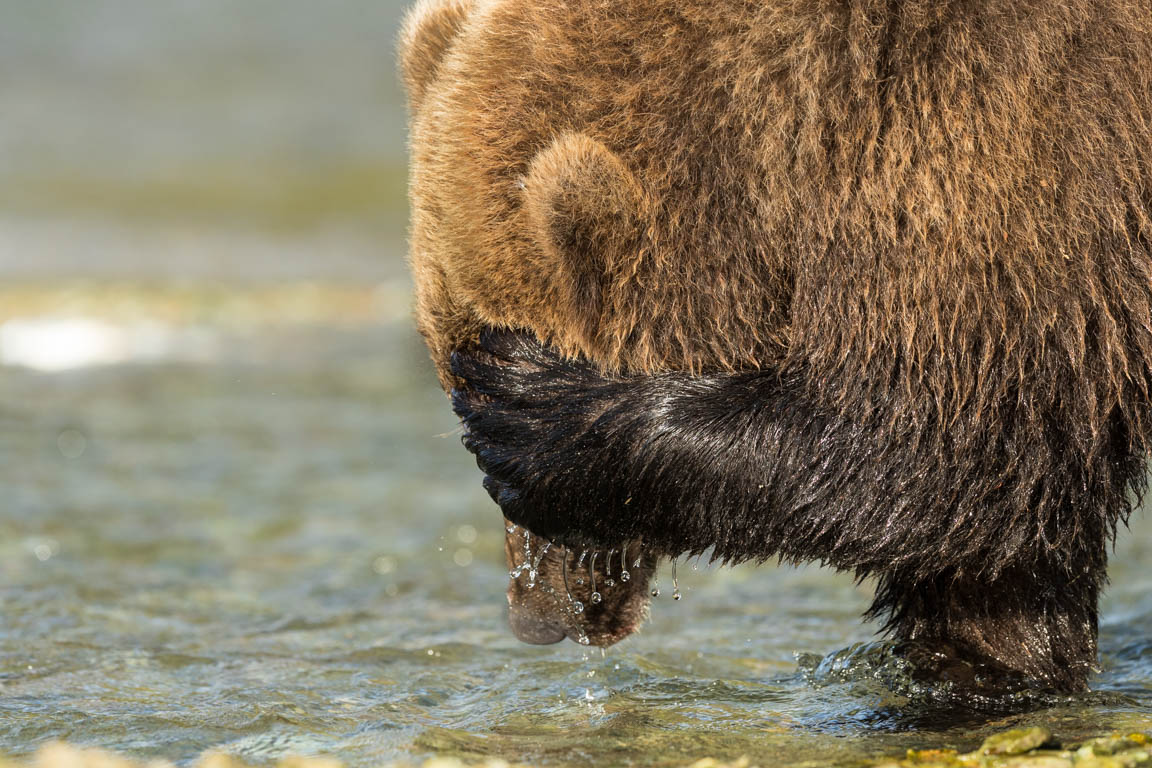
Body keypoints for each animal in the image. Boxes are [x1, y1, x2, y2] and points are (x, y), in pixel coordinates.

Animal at [400, 0, 1152, 695]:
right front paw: (984, 662)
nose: (537, 615)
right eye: (446, 374)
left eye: (473, 390)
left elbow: (952, 446)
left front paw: (546, 421)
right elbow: (996, 563)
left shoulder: (1015, 154)